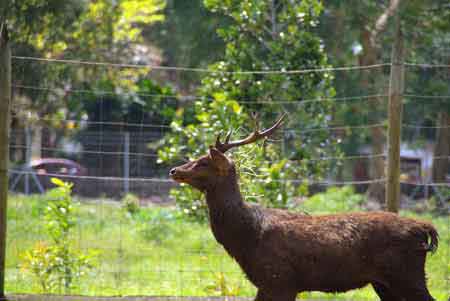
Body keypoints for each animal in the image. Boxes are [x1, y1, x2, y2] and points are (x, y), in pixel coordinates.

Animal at [169, 113, 436, 300]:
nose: (174, 170)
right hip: (385, 282)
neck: (247, 236)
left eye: (204, 162)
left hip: (407, 274)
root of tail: (425, 228)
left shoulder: (280, 279)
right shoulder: (269, 283)